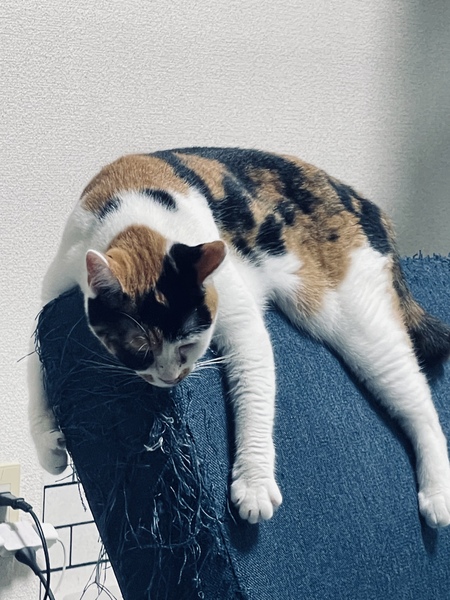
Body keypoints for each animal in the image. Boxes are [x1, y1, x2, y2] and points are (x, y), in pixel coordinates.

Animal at [28, 147, 450, 527]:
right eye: (138, 347)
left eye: (189, 344)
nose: (170, 378)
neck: (133, 210)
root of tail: (365, 203)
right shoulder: (53, 299)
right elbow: (34, 371)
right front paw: (49, 447)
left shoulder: (240, 317)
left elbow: (255, 394)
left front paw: (254, 485)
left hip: (359, 322)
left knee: (419, 402)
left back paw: (437, 497)